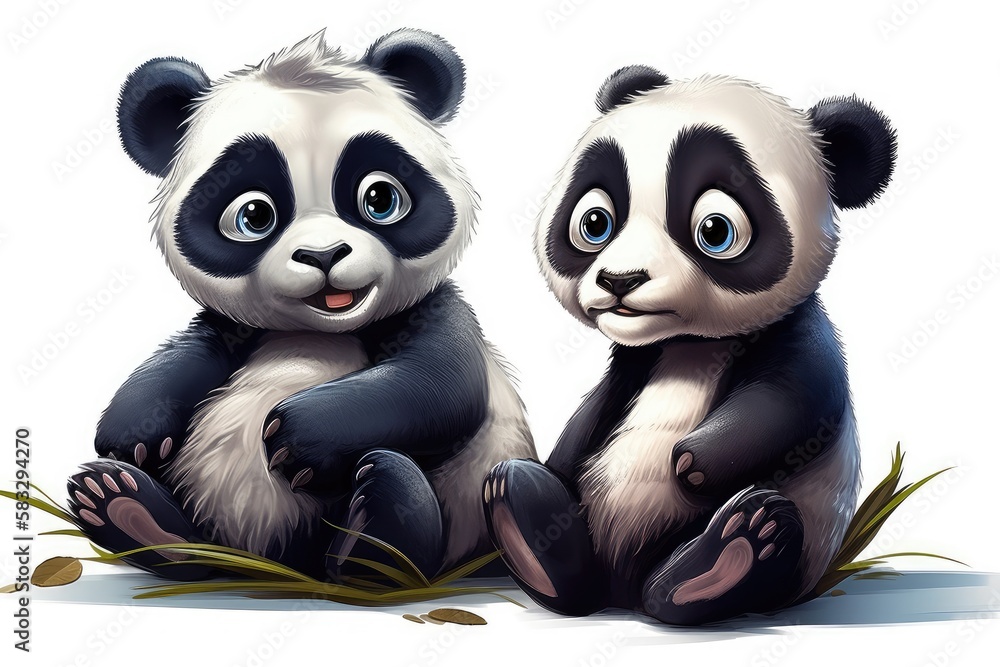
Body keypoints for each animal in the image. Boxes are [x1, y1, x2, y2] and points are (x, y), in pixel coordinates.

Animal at [66, 29, 535, 582]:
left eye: (380, 198)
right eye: (254, 215)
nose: (324, 255)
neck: (319, 328)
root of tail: (278, 566)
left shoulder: (434, 309)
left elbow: (440, 387)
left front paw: (295, 438)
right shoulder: (232, 327)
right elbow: (181, 359)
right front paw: (131, 434)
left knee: (399, 503)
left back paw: (371, 541)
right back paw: (127, 508)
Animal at [483, 66, 896, 625]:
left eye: (715, 230)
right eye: (594, 222)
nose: (620, 280)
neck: (687, 345)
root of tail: (624, 595)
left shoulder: (799, 332)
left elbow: (791, 400)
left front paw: (693, 462)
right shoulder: (633, 363)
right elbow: (590, 417)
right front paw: (554, 466)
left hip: (785, 547)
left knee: (727, 568)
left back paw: (737, 548)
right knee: (568, 555)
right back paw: (520, 510)